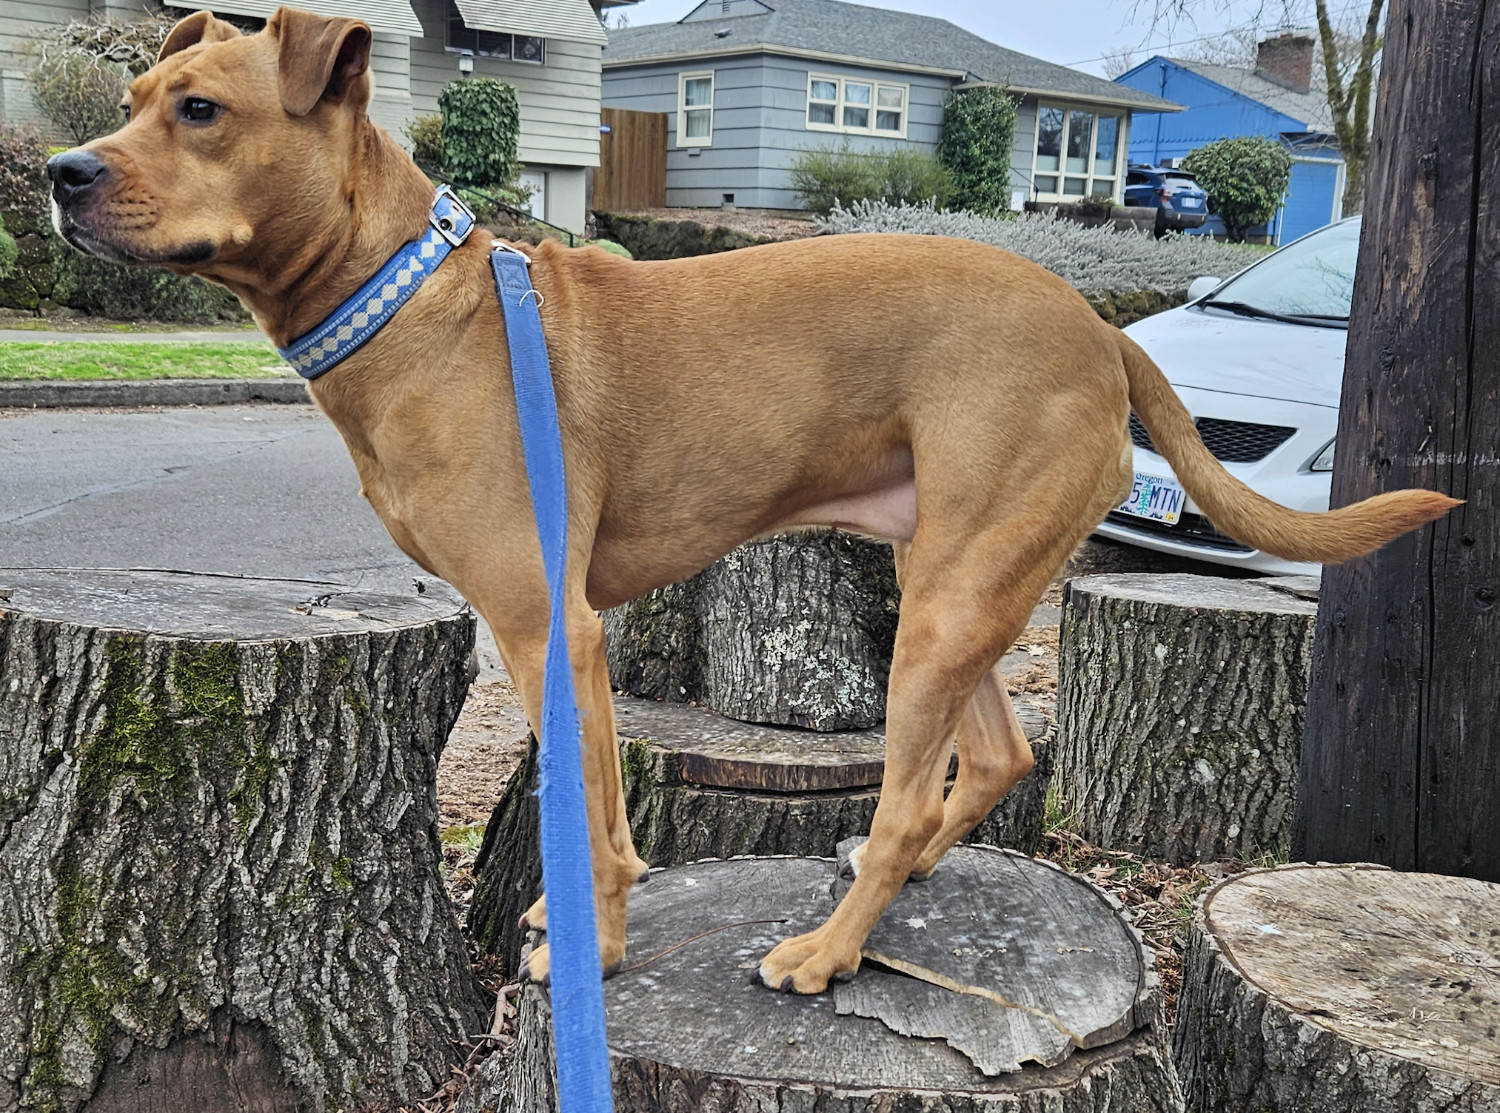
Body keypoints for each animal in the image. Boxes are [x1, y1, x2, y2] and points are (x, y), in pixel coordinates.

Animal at [49, 8, 1452, 996]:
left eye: (201, 109)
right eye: (128, 106)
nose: (60, 172)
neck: (407, 298)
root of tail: (1106, 334)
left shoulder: (550, 629)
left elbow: (592, 817)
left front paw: (599, 949)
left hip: (948, 605)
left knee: (908, 795)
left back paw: (831, 949)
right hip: (957, 583)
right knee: (993, 758)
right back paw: (903, 873)